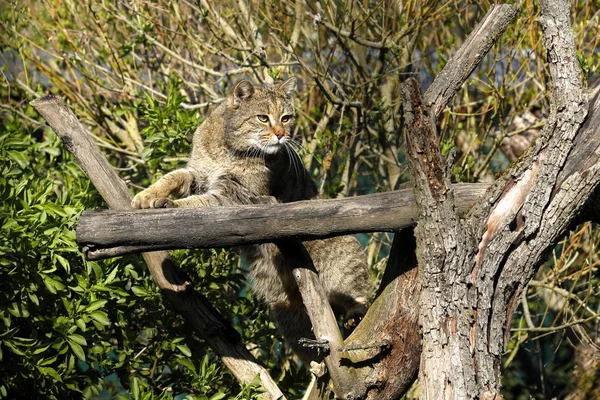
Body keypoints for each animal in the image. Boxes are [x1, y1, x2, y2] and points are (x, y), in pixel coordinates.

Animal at [134, 78, 372, 362]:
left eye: (286, 117)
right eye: (262, 117)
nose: (281, 134)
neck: (228, 148)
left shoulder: (235, 197)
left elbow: (199, 205)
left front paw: (171, 205)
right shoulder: (199, 174)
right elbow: (174, 176)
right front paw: (147, 194)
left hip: (344, 268)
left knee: (361, 297)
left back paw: (355, 314)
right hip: (289, 316)